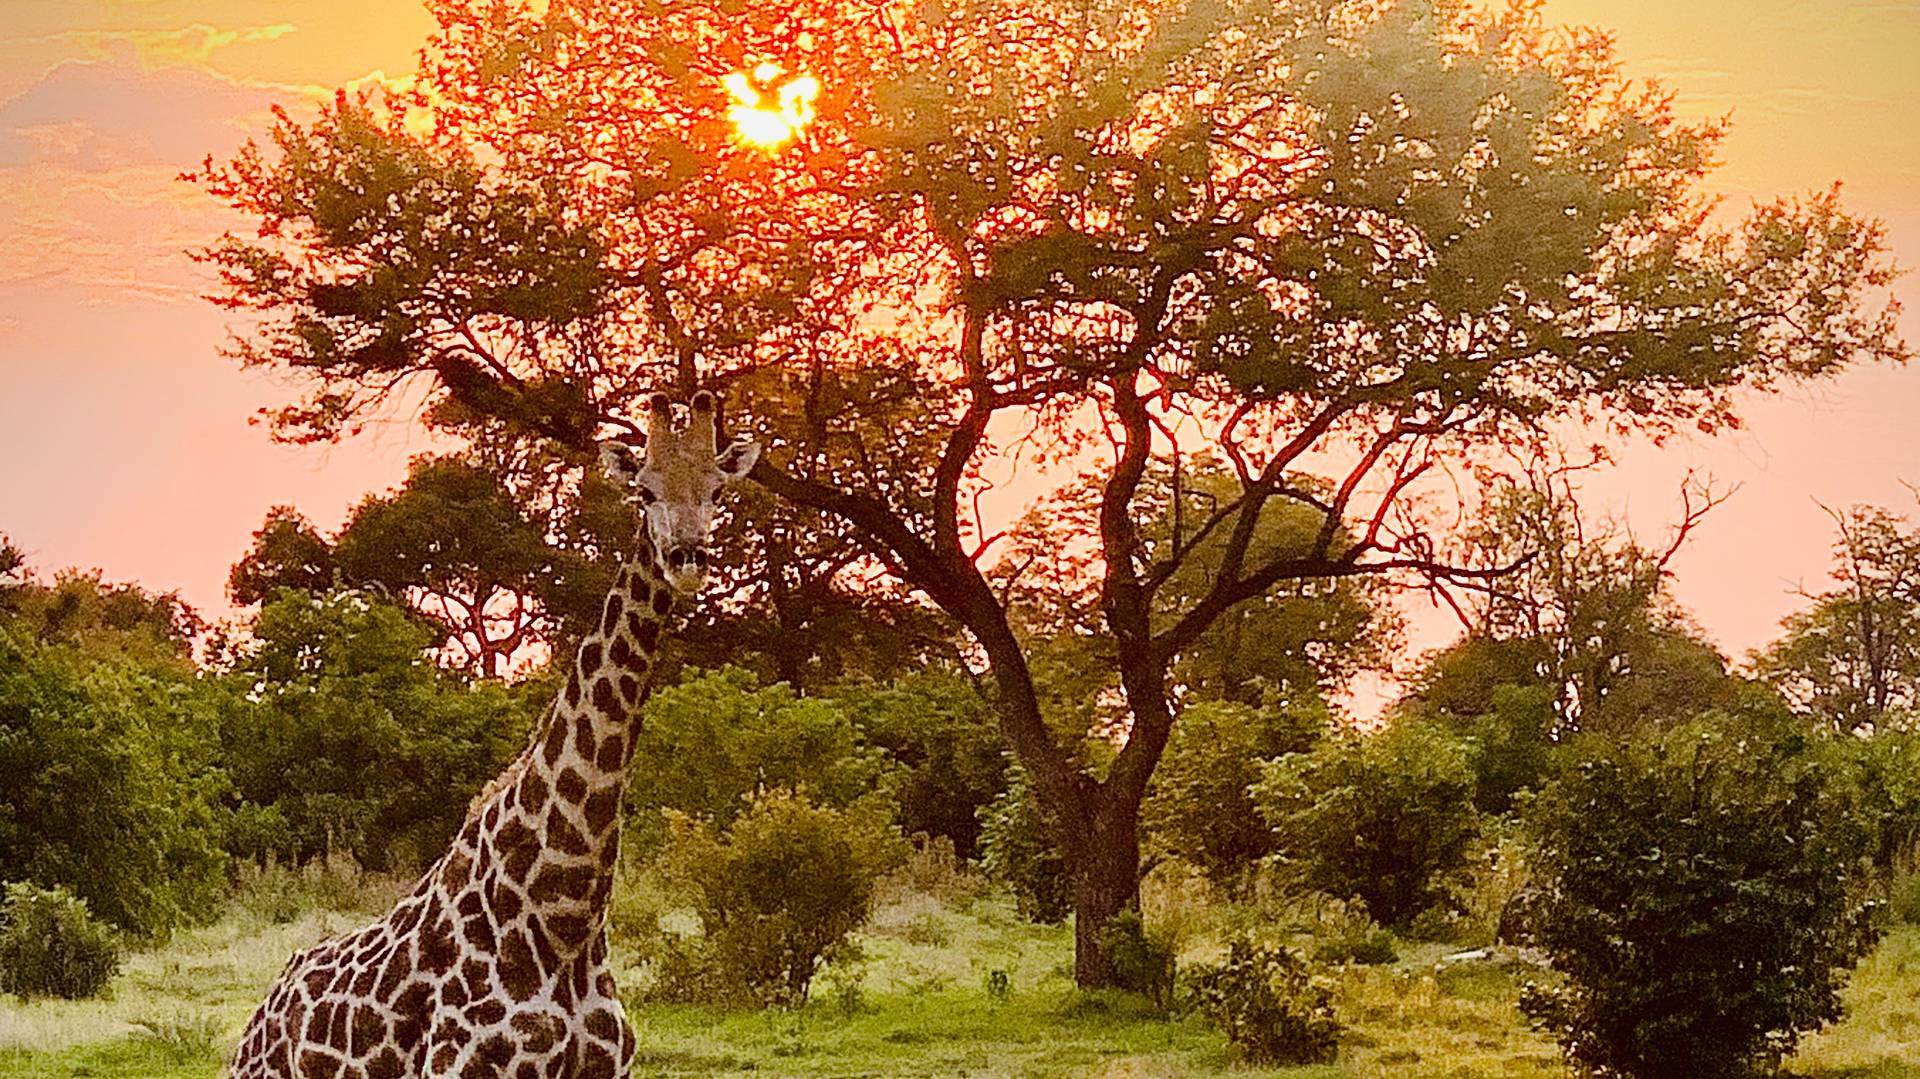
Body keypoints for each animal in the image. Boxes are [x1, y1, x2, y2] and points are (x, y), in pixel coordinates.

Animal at [226, 387, 756, 1075]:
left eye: (717, 489)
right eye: (644, 489)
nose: (686, 556)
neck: (564, 913)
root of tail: (263, 1013)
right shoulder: (460, 1064)